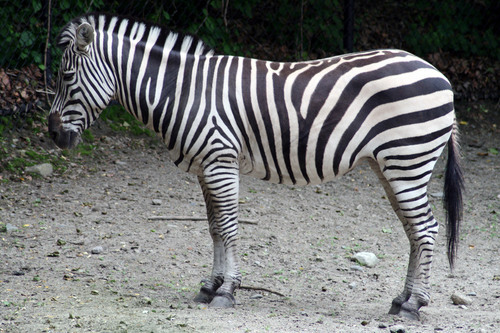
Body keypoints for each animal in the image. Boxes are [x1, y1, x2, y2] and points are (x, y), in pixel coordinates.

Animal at [48, 13, 462, 320]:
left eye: (66, 77)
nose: (52, 134)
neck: (181, 91)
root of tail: (440, 76)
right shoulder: (206, 167)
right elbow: (214, 228)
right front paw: (210, 286)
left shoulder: (220, 161)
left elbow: (229, 227)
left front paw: (228, 290)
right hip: (391, 166)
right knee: (414, 231)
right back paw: (401, 300)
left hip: (408, 162)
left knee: (426, 229)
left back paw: (413, 305)